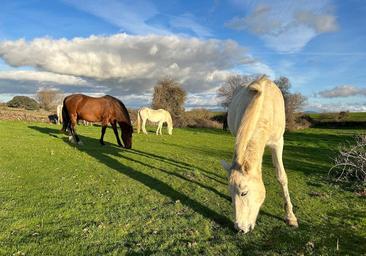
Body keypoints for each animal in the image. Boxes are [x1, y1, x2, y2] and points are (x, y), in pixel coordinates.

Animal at [220, 75, 298, 233]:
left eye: (244, 193)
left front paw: (290, 217)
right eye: (230, 192)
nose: (240, 228)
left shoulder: (278, 143)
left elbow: (282, 177)